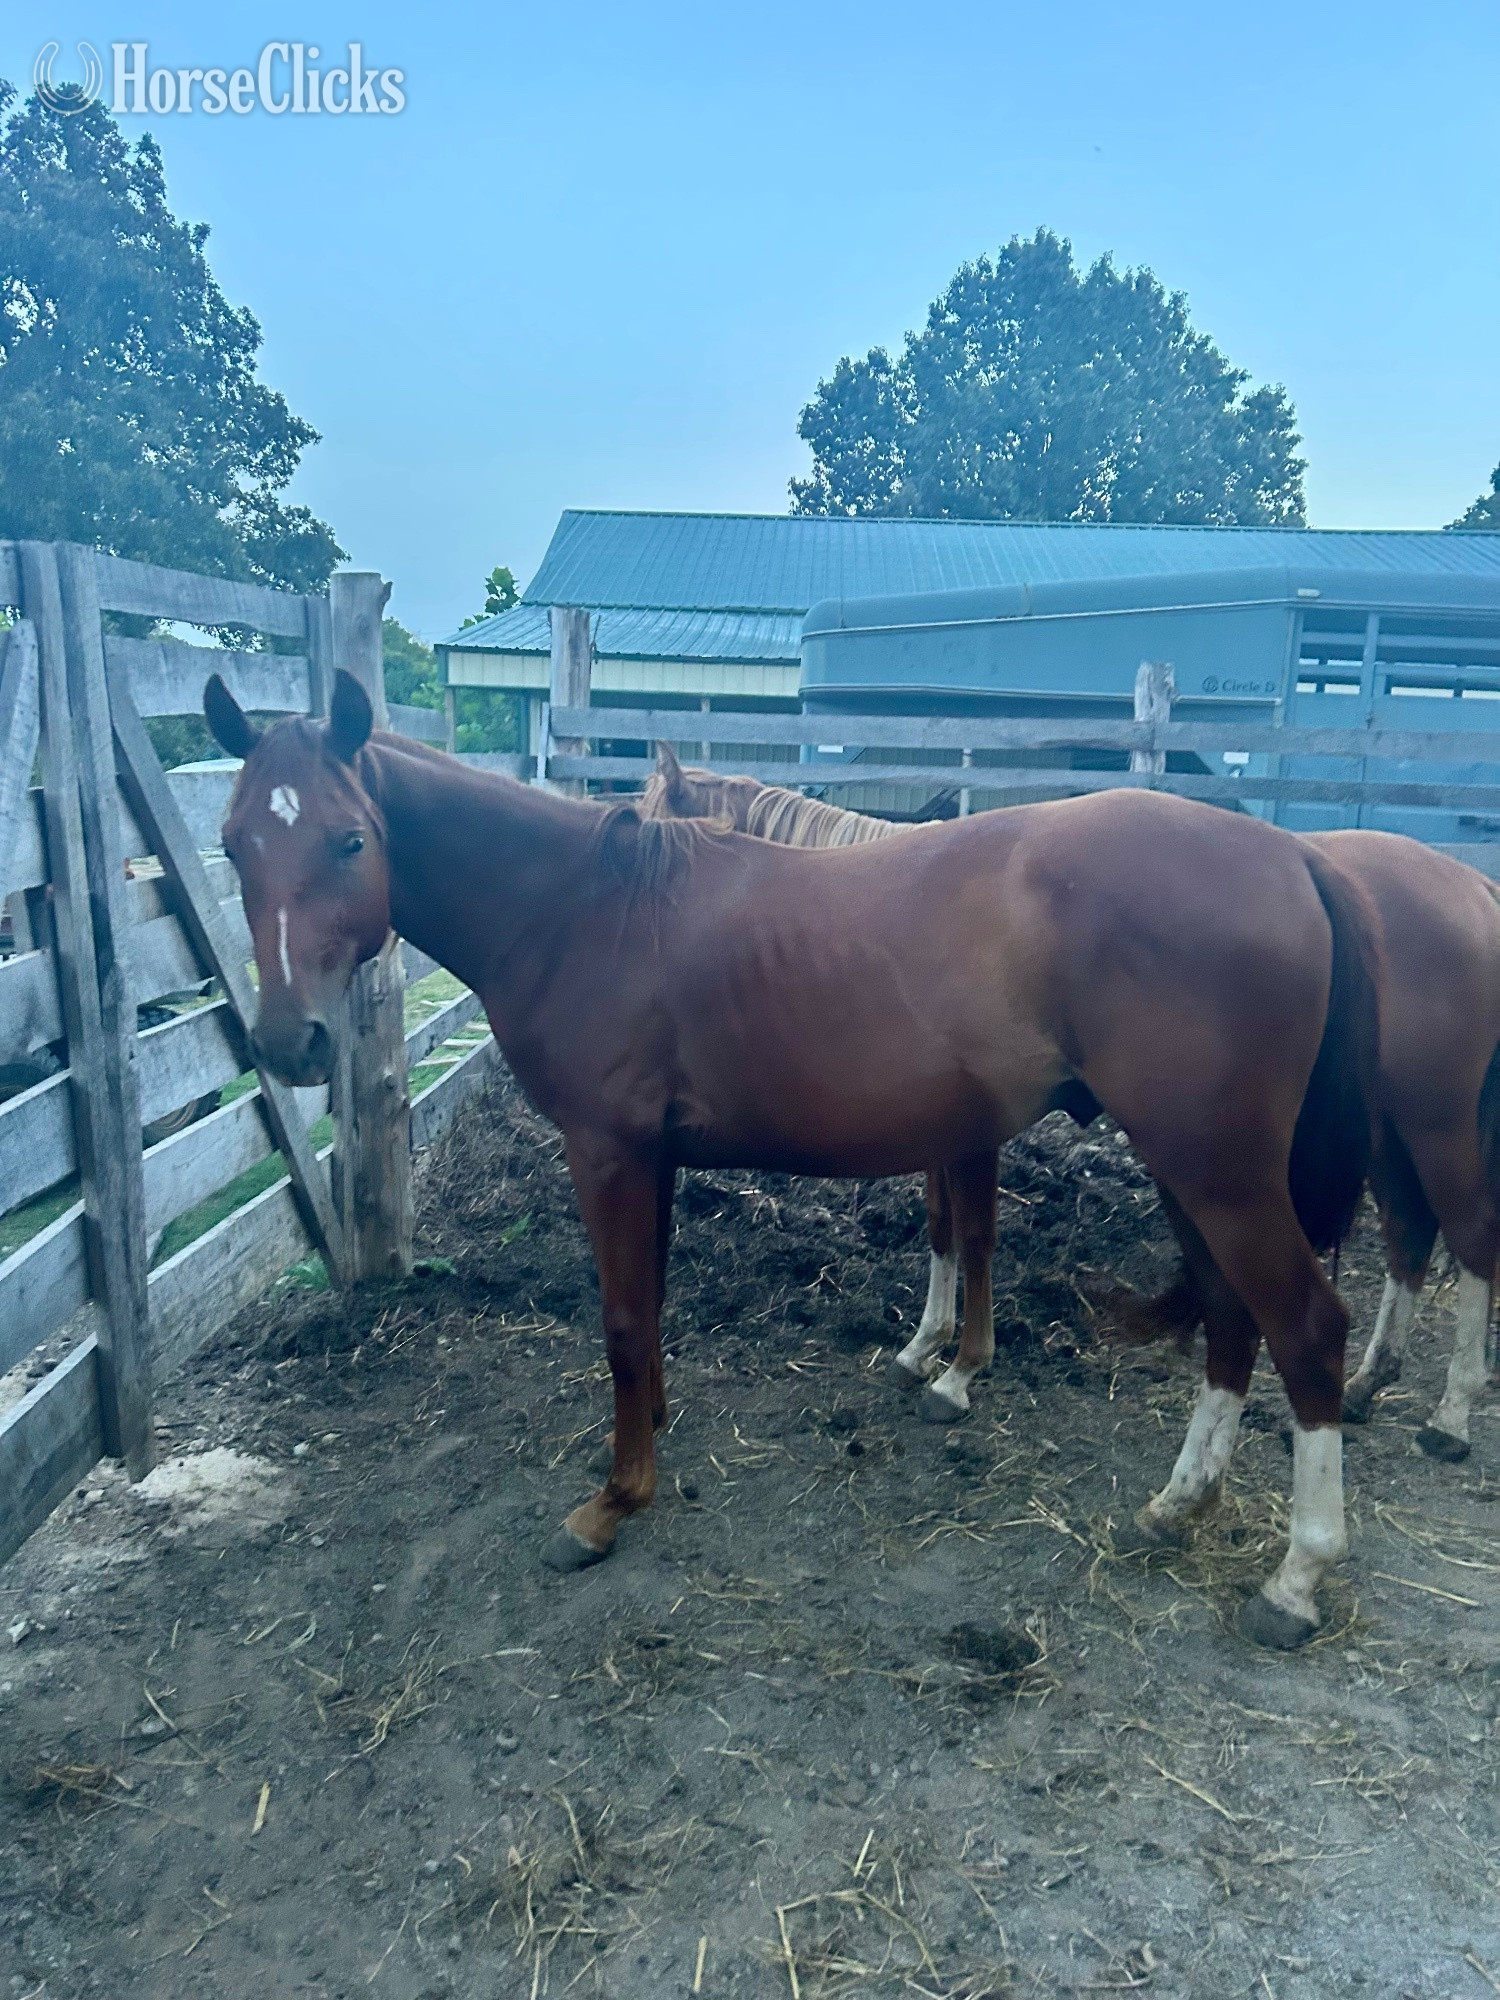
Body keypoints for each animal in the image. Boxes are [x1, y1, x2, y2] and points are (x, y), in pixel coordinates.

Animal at [204, 670, 1378, 1649]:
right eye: (232, 843)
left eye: (350, 841)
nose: (290, 1042)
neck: (580, 909)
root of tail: (1298, 856)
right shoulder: (654, 1157)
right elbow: (652, 1304)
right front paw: (653, 1435)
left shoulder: (609, 1151)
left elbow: (622, 1320)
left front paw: (612, 1502)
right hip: (1193, 1166)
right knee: (1231, 1315)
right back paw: (1178, 1506)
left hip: (1217, 1166)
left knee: (1306, 1327)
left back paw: (1295, 1578)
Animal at [641, 749, 1499, 1464]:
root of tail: (1306, 862)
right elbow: (941, 1231)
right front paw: (924, 1346)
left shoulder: (971, 1136)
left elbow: (975, 1237)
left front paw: (960, 1370)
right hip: (1380, 1134)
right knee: (1409, 1235)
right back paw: (1370, 1382)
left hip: (1428, 1124)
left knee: (1466, 1237)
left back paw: (1450, 1415)